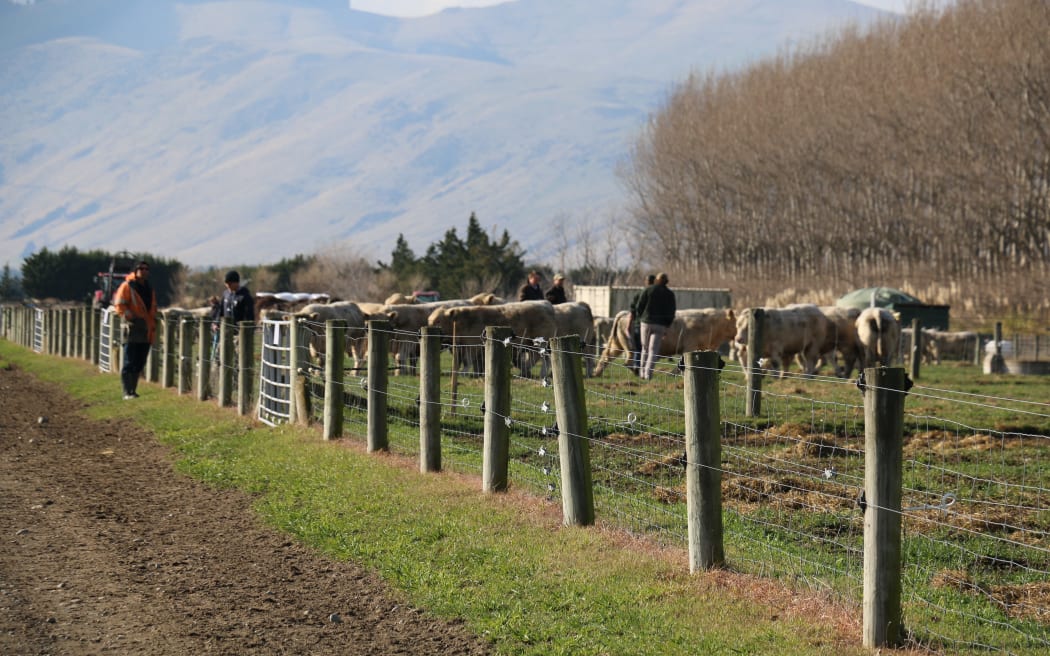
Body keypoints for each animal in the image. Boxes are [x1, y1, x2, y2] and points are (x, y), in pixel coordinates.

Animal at [596, 306, 743, 373]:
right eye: (737, 322)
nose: (739, 337)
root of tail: (624, 313)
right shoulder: (690, 346)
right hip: (630, 347)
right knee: (628, 362)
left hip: (617, 344)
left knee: (605, 357)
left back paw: (596, 373)